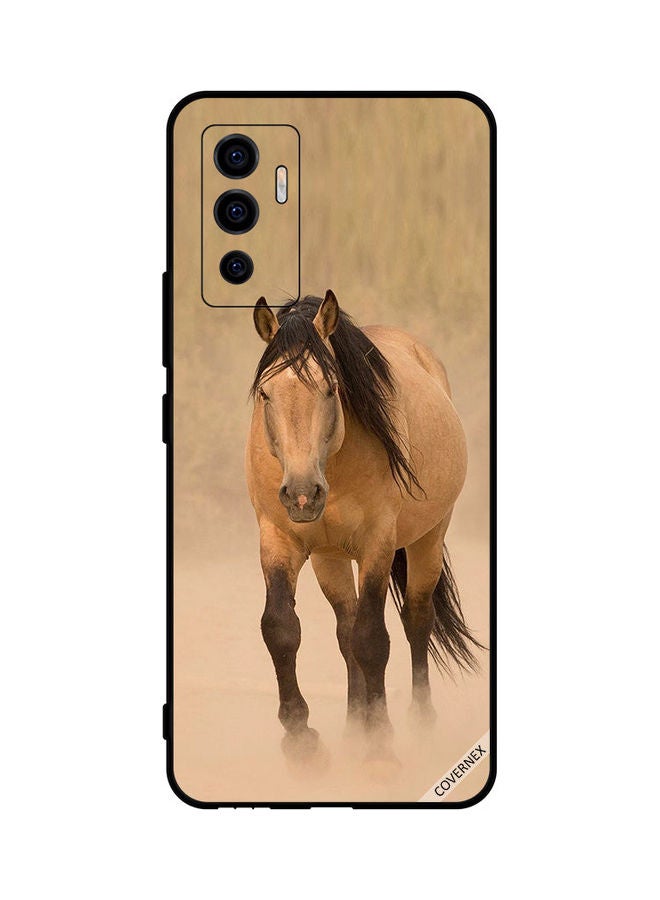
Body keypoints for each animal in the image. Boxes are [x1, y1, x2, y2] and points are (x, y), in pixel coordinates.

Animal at [245, 290, 482, 766]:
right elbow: (281, 628)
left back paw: (419, 723)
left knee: (415, 620)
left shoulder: (377, 545)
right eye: (266, 392)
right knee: (345, 629)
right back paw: (353, 726)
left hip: (428, 539)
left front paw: (380, 742)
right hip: (329, 558)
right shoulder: (278, 540)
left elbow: (373, 639)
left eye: (331, 387)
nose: (303, 494)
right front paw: (301, 738)